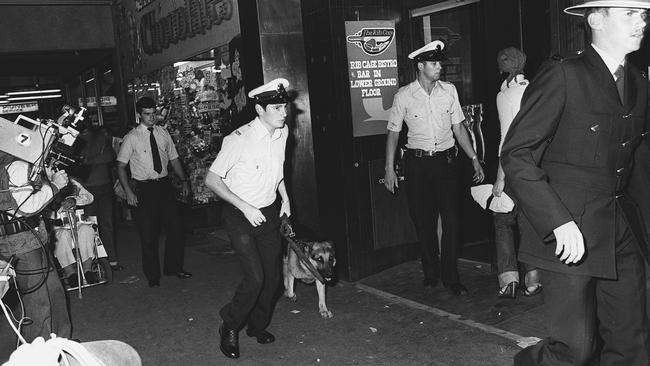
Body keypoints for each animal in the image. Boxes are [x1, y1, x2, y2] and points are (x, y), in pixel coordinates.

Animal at [205, 78, 292, 358]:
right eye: (276, 105)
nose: (284, 116)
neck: (267, 131)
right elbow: (214, 179)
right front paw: (230, 336)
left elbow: (281, 181)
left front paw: (285, 206)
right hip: (241, 236)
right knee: (256, 280)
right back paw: (228, 328)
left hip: (270, 243)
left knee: (270, 279)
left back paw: (255, 328)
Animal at [382, 40, 484, 298]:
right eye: (433, 60)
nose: (439, 68)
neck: (428, 87)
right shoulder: (399, 104)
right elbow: (394, 133)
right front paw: (389, 175)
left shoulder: (447, 181)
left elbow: (458, 127)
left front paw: (453, 281)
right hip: (418, 188)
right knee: (423, 220)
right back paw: (430, 276)